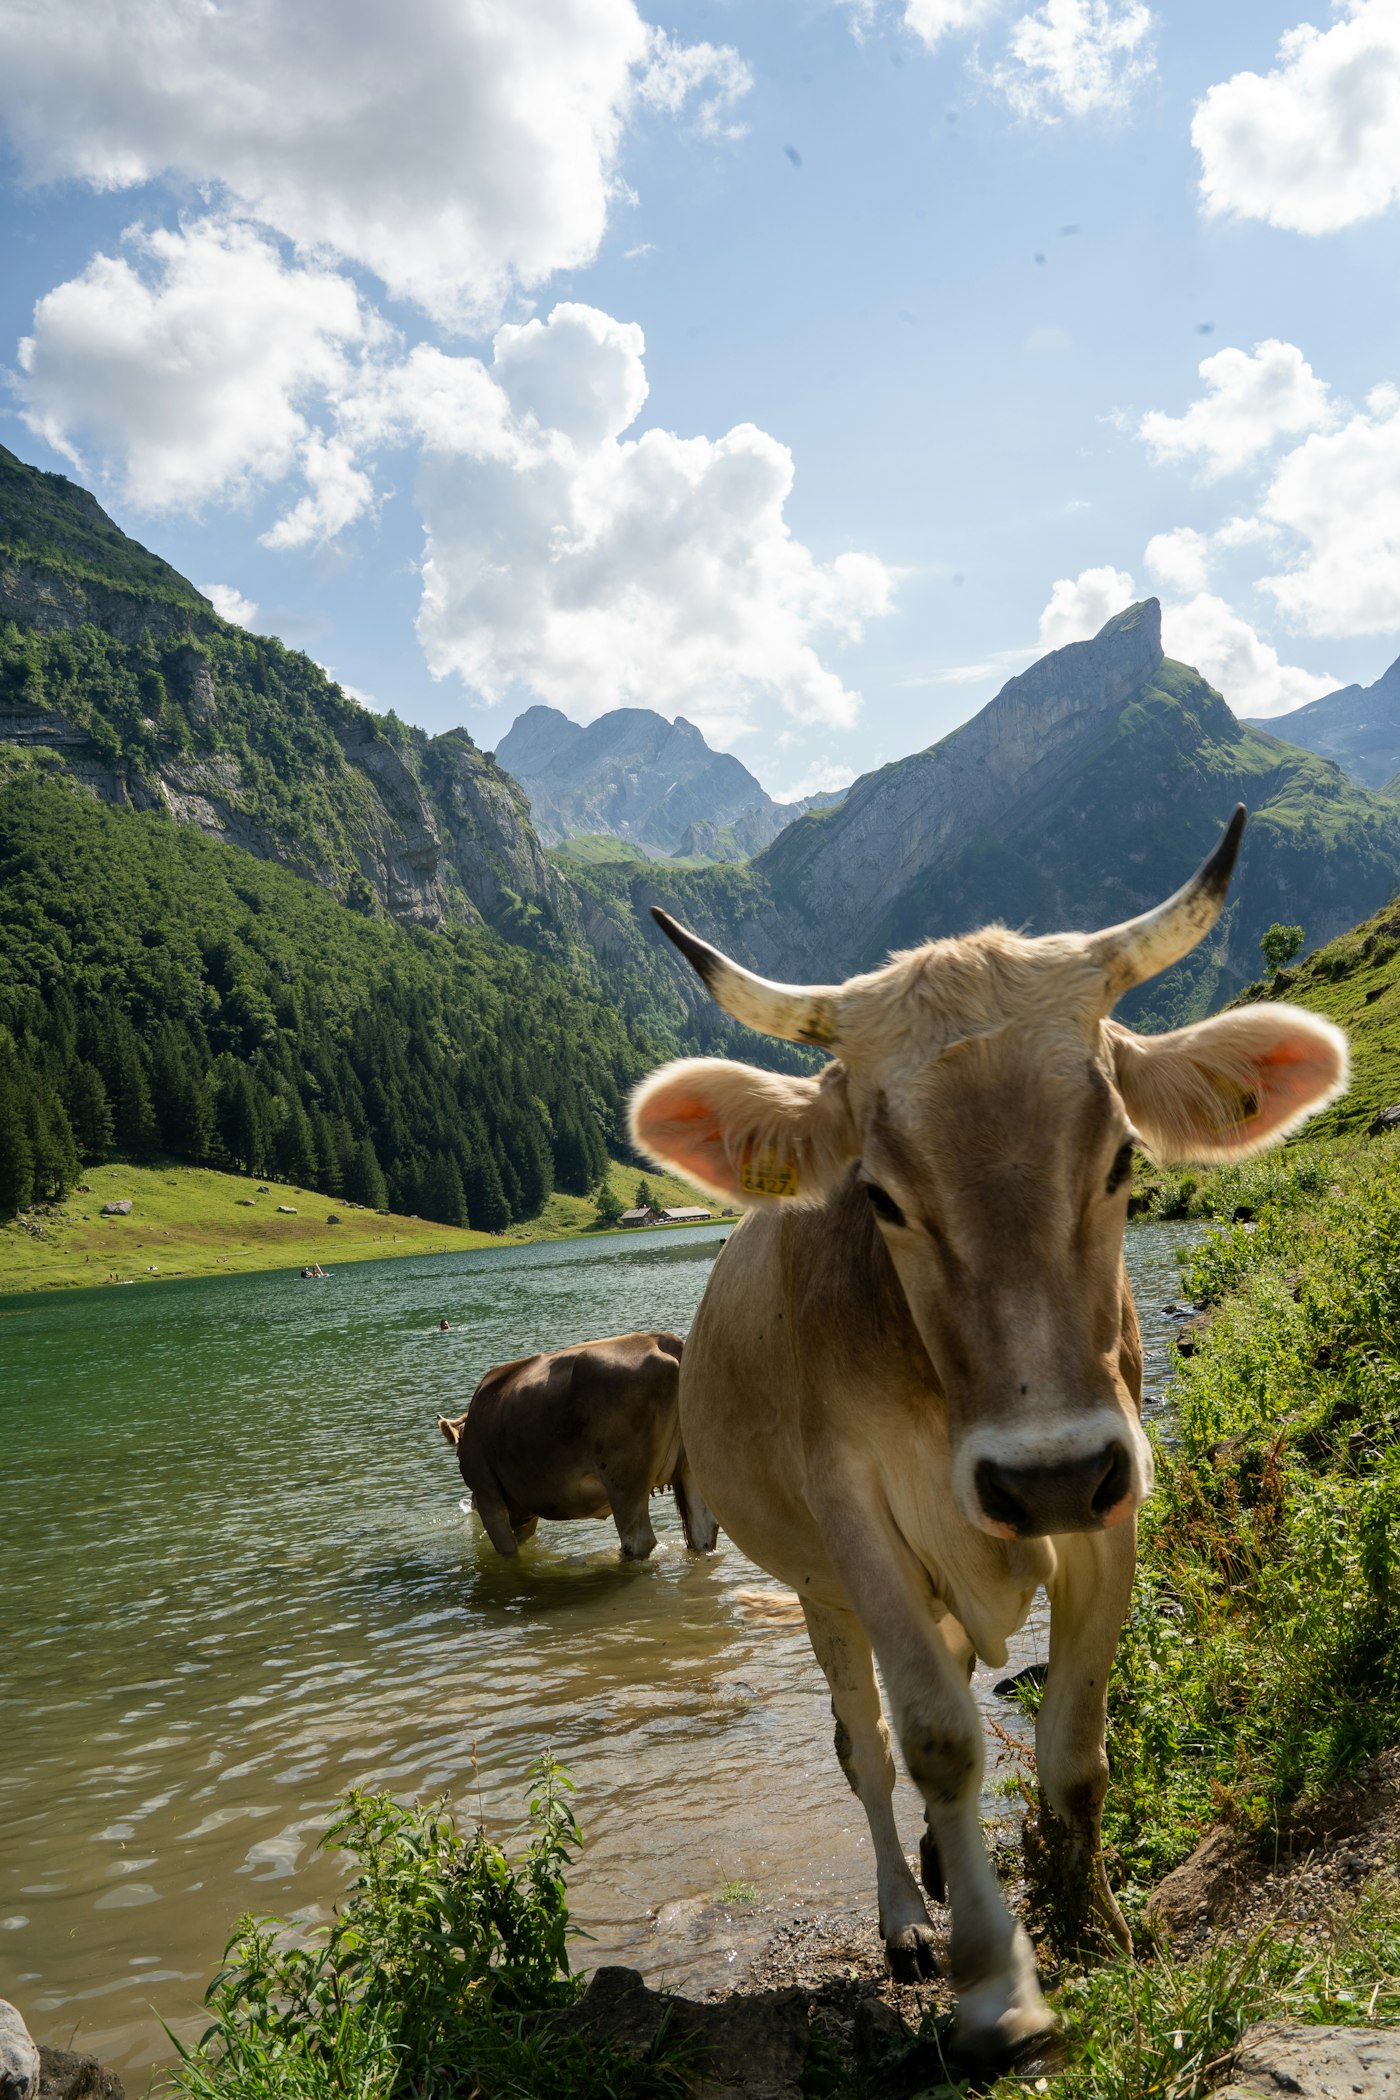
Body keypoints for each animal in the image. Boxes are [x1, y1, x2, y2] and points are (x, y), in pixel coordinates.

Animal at [438, 1329, 718, 1560]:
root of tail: (659, 1341)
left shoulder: (487, 1494)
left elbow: (507, 1552)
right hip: (693, 1468)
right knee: (703, 1532)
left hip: (625, 1482)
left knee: (639, 1540)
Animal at [628, 808, 1347, 2068]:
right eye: (879, 1197)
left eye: (1120, 1160)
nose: (1043, 1474)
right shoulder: (859, 1528)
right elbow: (939, 1744)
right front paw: (991, 1985)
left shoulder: (1113, 1505)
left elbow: (1075, 1747)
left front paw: (1094, 1924)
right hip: (816, 1590)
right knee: (864, 1748)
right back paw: (908, 1915)